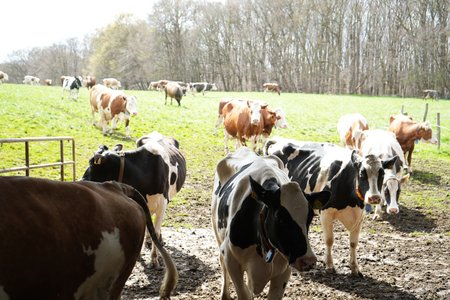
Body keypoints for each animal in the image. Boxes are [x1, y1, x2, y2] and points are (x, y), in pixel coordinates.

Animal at [211, 146, 330, 298]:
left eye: (310, 217)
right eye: (280, 216)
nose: (308, 261)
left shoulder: (284, 271)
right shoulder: (230, 258)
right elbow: (243, 292)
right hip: (216, 231)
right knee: (221, 262)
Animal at [264, 137, 398, 276]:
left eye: (382, 174)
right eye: (362, 174)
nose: (374, 197)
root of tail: (279, 140)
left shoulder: (359, 216)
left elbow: (353, 243)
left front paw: (355, 268)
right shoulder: (326, 213)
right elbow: (329, 240)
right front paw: (329, 266)